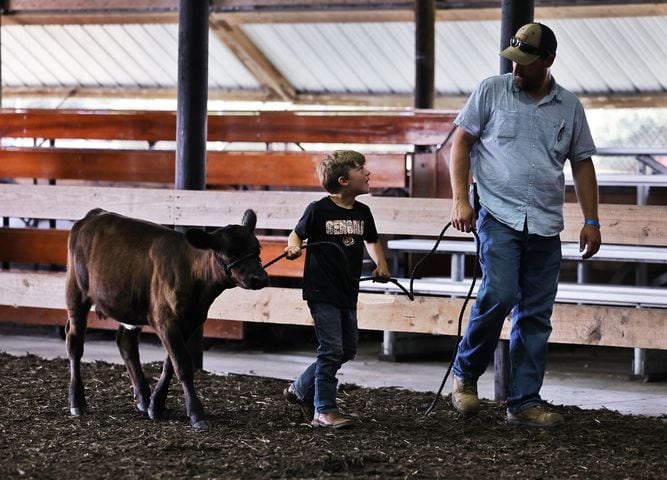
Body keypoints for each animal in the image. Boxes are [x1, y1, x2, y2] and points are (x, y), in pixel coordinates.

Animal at [64, 208, 268, 430]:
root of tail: (95, 215)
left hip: (130, 303)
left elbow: (170, 364)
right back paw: (77, 402)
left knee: (126, 343)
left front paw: (156, 406)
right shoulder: (166, 322)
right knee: (75, 344)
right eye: (230, 252)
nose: (259, 278)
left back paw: (143, 399)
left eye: (257, 247)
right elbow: (183, 365)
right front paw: (196, 414)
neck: (192, 274)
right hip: (76, 294)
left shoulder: (189, 323)